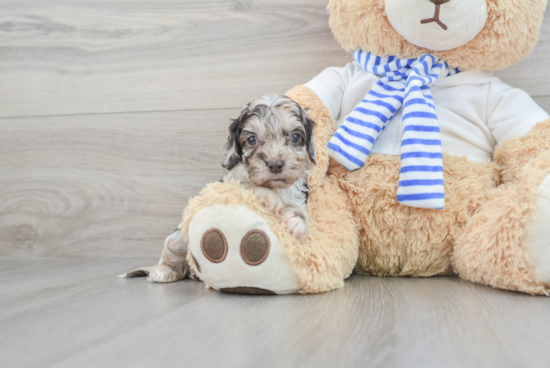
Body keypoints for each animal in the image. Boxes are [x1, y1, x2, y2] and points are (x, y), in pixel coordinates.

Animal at [122, 94, 316, 282]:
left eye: (295, 137)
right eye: (252, 139)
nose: (275, 165)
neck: (275, 186)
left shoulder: (298, 196)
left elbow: (300, 212)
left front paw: (296, 223)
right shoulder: (231, 180)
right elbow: (249, 184)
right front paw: (271, 198)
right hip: (176, 239)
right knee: (171, 259)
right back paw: (162, 271)